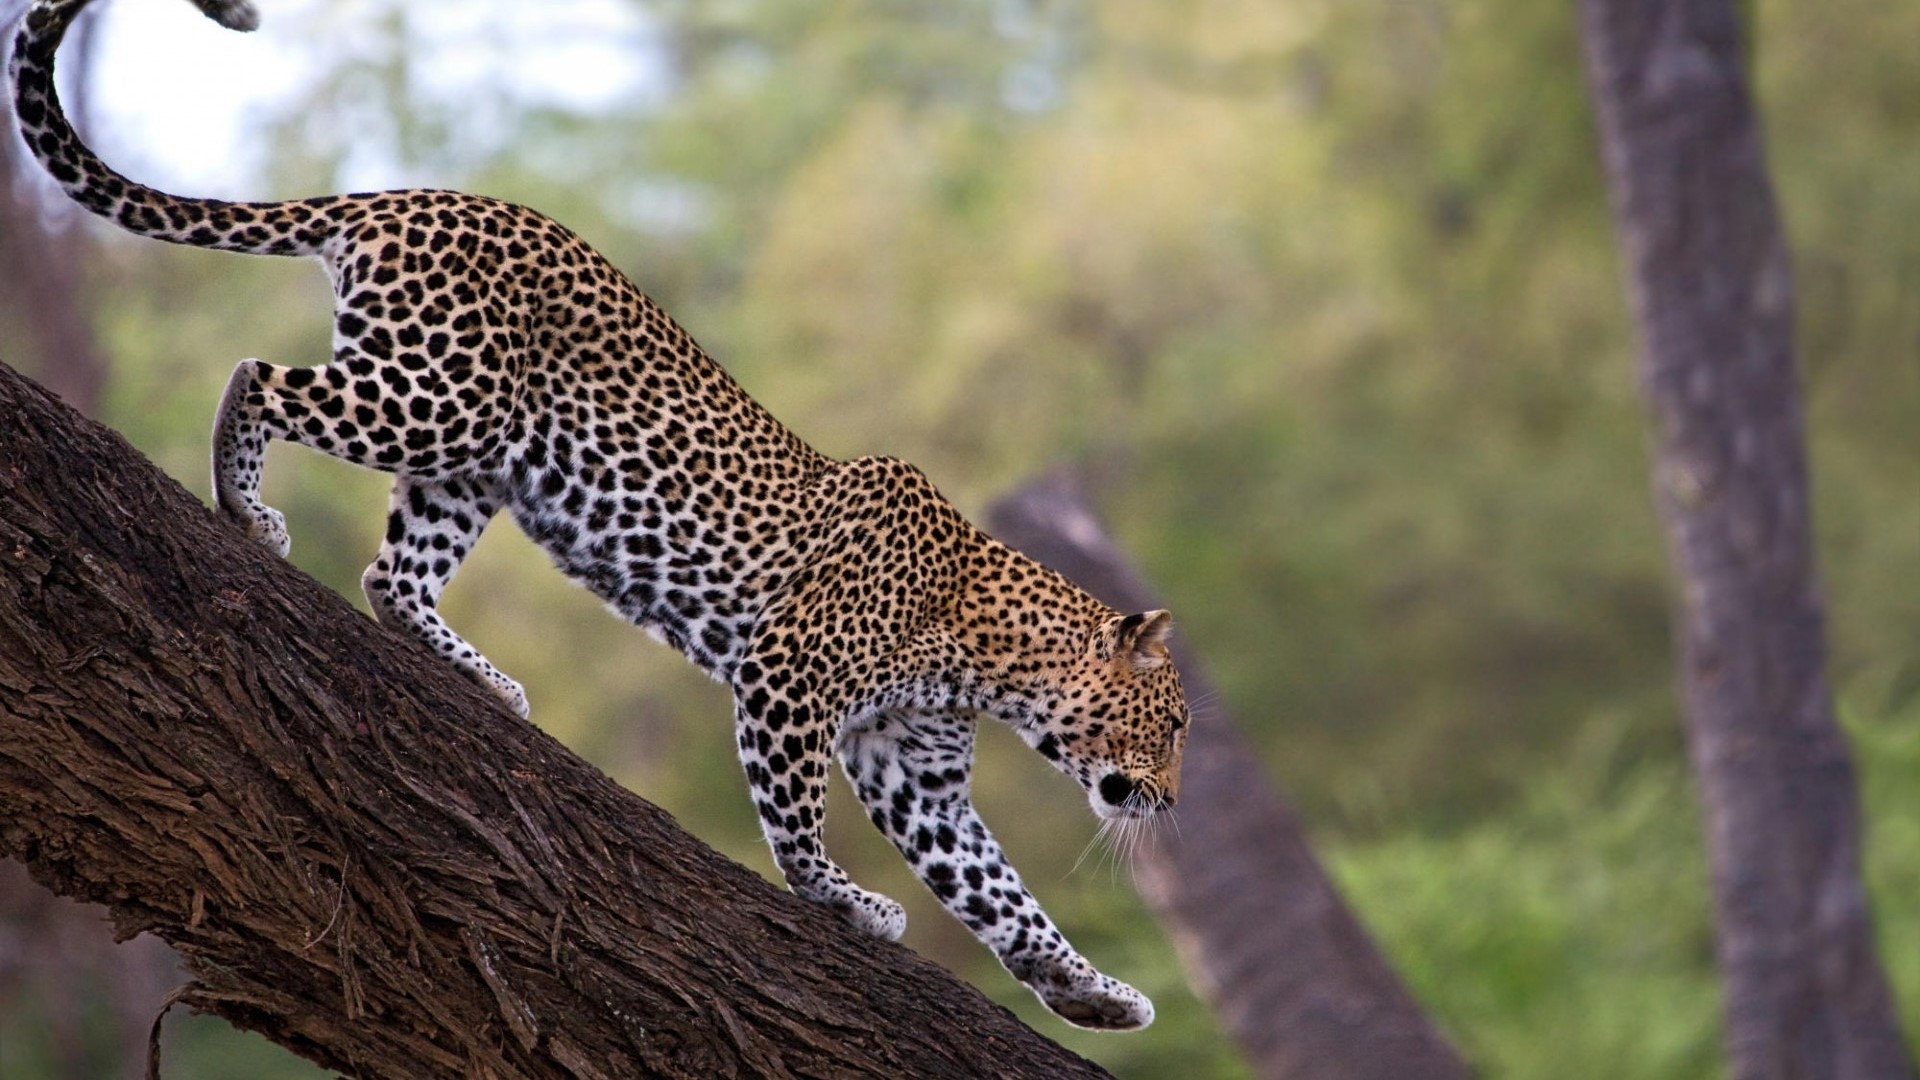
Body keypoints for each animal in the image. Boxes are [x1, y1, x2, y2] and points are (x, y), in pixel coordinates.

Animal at [11, 0, 1191, 1030]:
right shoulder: (789, 681)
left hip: (475, 462)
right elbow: (799, 819)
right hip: (437, 397)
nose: (1173, 804)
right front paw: (843, 901)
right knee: (257, 377)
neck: (990, 655)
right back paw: (246, 508)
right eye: (1176, 725)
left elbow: (1002, 894)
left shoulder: (918, 774)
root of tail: (406, 196)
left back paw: (481, 678)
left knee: (393, 577)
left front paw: (1093, 994)